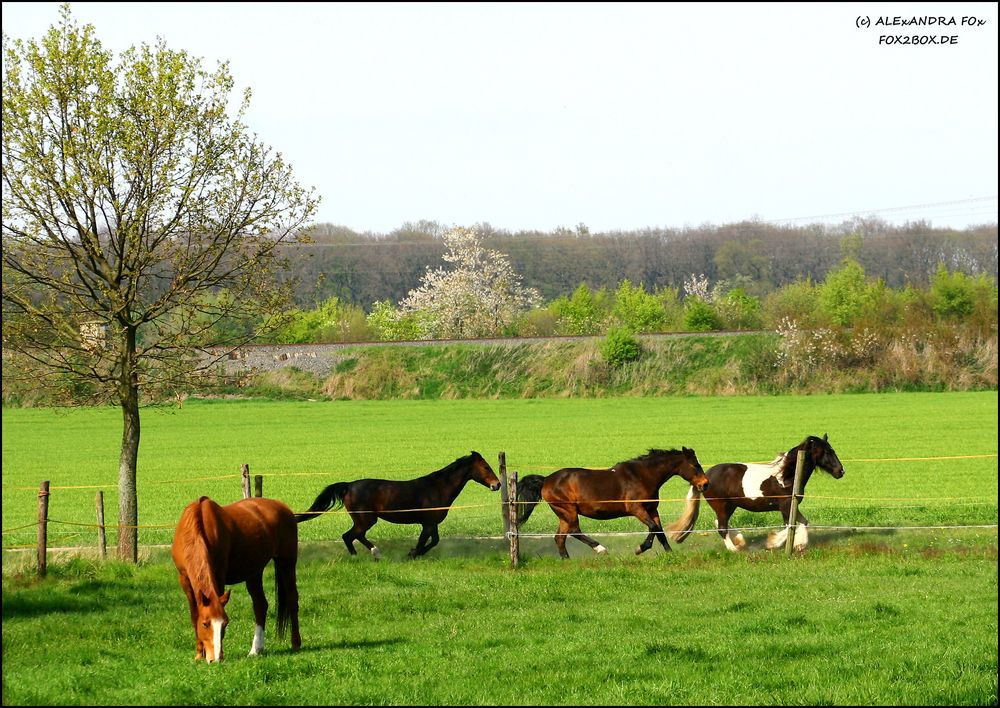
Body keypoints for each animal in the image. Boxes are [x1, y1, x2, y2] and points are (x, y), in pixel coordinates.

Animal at [170, 496, 300, 660]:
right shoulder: (185, 580)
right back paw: (255, 649)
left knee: (292, 600)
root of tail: (284, 508)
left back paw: (296, 643)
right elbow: (194, 615)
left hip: (286, 562)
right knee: (260, 605)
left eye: (225, 623)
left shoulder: (218, 575)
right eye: (205, 624)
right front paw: (199, 654)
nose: (216, 658)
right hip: (254, 572)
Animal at [294, 450, 500, 560]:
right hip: (366, 519)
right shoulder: (427, 524)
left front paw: (414, 553)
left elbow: (434, 541)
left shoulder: (431, 523)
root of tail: (349, 486)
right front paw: (412, 554)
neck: (438, 488)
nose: (497, 484)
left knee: (351, 536)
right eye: (486, 467)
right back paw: (373, 554)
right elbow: (424, 541)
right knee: (352, 535)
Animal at [516, 448, 712, 560]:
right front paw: (640, 549)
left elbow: (659, 531)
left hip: (563, 514)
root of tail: (546, 480)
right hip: (568, 510)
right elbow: (652, 528)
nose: (705, 484)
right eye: (695, 465)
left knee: (560, 537)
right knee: (574, 530)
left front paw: (670, 554)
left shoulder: (652, 509)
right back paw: (600, 549)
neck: (643, 476)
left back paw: (567, 560)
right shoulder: (637, 509)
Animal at [668, 432, 848, 552]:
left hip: (730, 506)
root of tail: (705, 478)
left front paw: (799, 544)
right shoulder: (786, 506)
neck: (786, 474)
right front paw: (773, 543)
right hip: (721, 505)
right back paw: (734, 549)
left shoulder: (790, 506)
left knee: (719, 523)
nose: (841, 472)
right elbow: (791, 525)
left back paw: (740, 541)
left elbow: (802, 522)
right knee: (721, 527)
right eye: (827, 452)